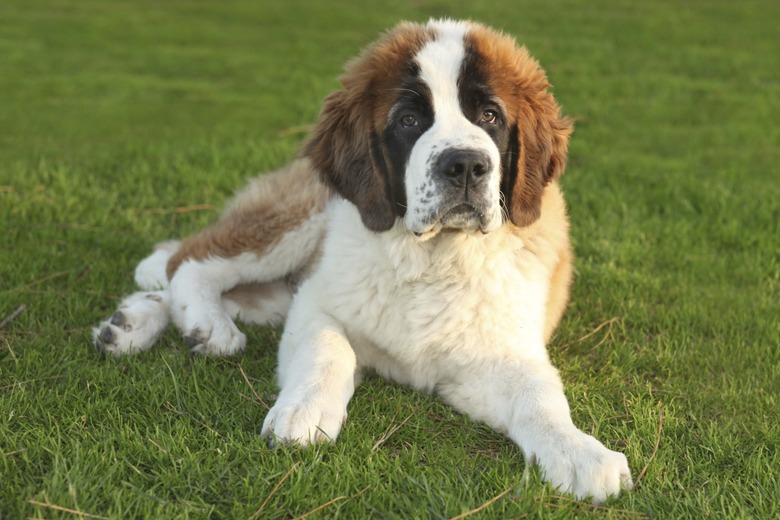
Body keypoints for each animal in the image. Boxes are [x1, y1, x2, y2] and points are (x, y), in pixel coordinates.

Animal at [94, 18, 632, 502]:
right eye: (409, 121)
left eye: (490, 117)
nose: (465, 165)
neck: (433, 257)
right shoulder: (317, 303)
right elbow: (331, 349)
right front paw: (304, 412)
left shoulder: (498, 355)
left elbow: (539, 396)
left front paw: (579, 452)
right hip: (300, 218)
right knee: (191, 260)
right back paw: (205, 325)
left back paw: (133, 321)